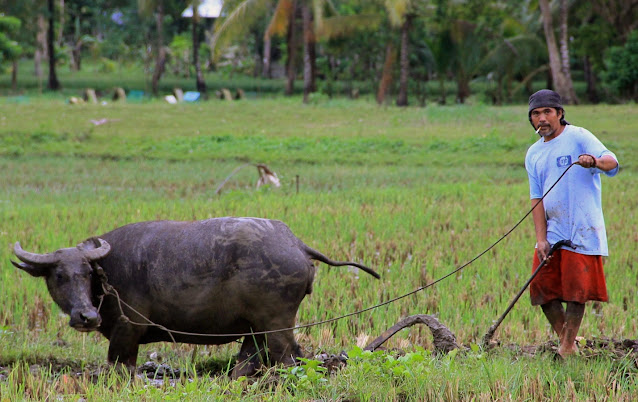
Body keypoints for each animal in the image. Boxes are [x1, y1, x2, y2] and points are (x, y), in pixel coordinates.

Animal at [12, 217, 380, 376]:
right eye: (59, 275)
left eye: (87, 273)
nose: (86, 316)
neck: (110, 270)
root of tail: (297, 244)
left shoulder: (127, 330)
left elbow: (121, 367)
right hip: (256, 328)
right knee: (251, 360)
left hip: (277, 323)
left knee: (288, 358)